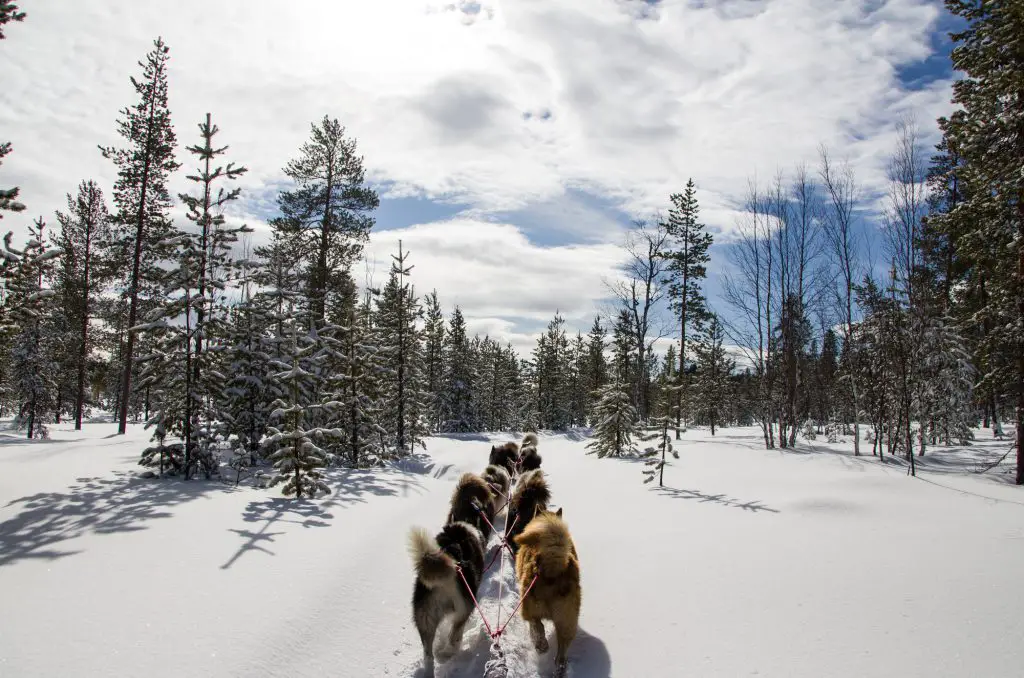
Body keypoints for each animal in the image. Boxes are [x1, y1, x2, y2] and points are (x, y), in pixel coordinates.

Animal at [516, 510, 581, 678]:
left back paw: (541, 645)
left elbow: (534, 627)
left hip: (529, 607)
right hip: (567, 622)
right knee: (560, 657)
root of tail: (553, 567)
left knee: (537, 625)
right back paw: (558, 670)